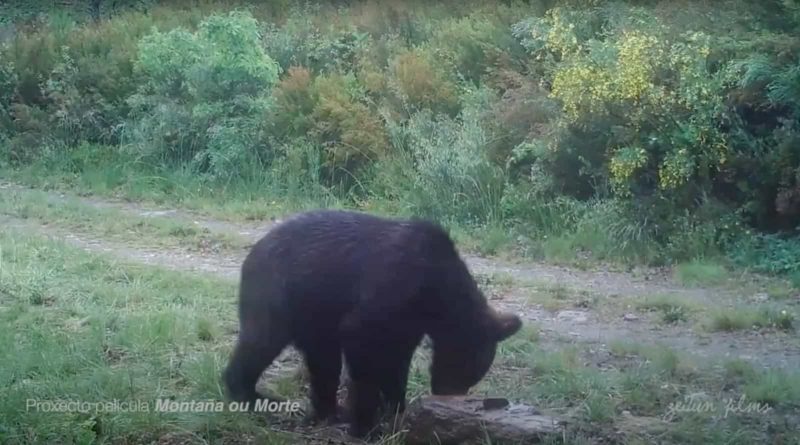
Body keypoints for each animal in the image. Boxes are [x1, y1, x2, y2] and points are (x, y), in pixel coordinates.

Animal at [222, 209, 522, 438]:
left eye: (471, 376)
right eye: (464, 368)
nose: (446, 395)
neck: (435, 292)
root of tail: (253, 251)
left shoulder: (408, 323)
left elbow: (396, 362)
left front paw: (396, 411)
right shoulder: (392, 286)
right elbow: (362, 344)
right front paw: (366, 424)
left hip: (315, 316)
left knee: (323, 362)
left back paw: (328, 410)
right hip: (278, 295)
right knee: (261, 342)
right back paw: (252, 396)